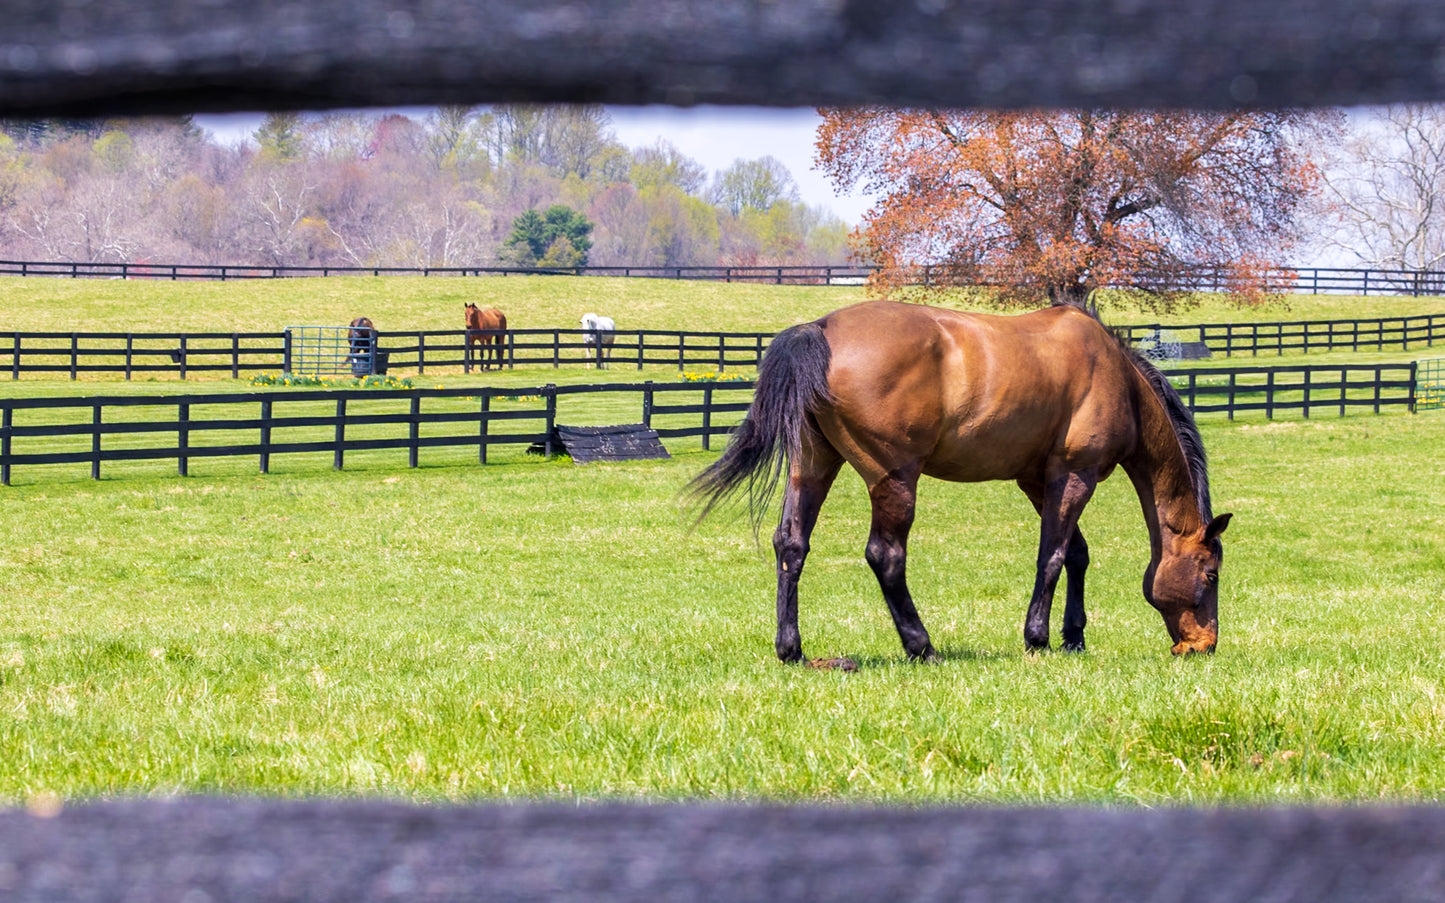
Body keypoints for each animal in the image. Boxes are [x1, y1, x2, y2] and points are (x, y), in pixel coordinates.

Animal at [687, 299, 1231, 664]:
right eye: (1210, 574)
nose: (1203, 645)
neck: (1118, 379)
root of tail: (819, 329)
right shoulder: (1074, 475)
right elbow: (1053, 556)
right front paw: (1037, 638)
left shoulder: (1038, 480)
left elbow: (1075, 553)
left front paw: (1073, 636)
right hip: (894, 478)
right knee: (885, 555)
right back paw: (921, 646)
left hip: (814, 463)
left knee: (791, 545)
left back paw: (792, 649)